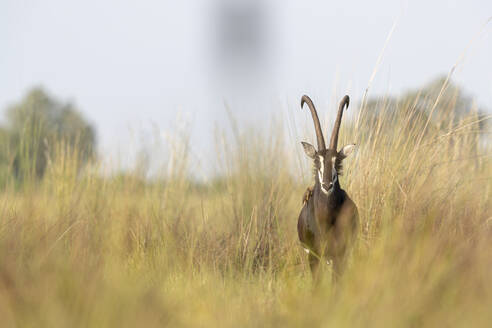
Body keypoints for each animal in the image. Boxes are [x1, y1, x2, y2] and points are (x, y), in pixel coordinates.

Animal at [298, 94, 360, 282]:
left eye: (337, 161)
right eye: (317, 160)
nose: (327, 185)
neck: (325, 219)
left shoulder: (340, 255)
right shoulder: (313, 256)